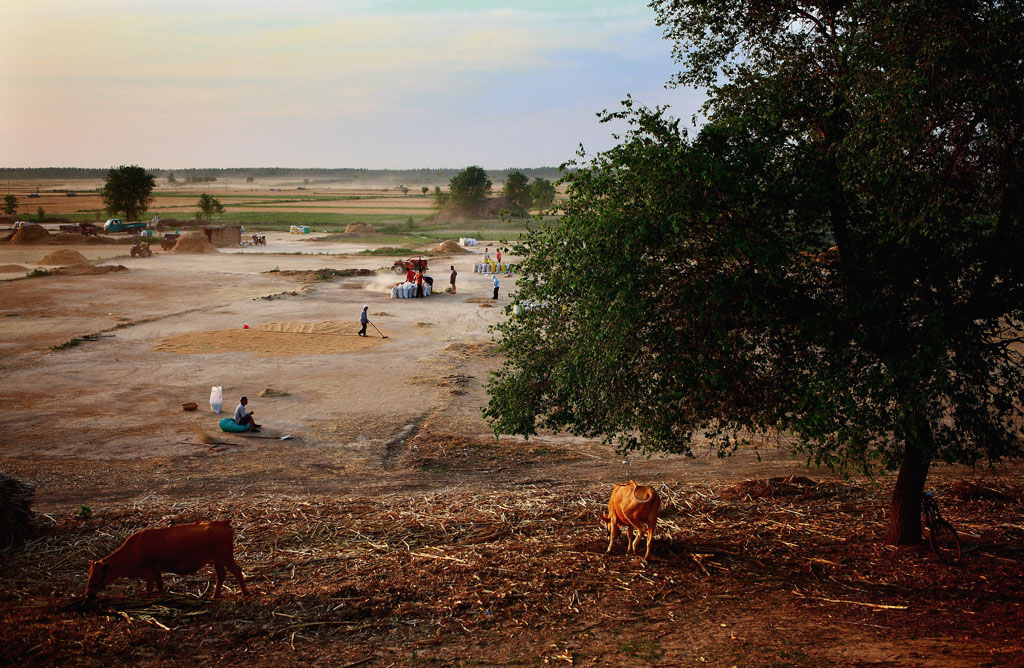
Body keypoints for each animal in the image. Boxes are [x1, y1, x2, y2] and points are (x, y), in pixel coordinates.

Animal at [84, 516, 247, 598]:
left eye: (97, 574)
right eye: (89, 573)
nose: (87, 593)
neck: (135, 548)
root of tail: (223, 523)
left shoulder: (149, 573)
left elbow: (149, 590)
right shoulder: (157, 572)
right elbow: (161, 587)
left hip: (226, 557)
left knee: (237, 571)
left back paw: (245, 593)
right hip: (217, 561)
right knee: (221, 576)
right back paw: (214, 596)